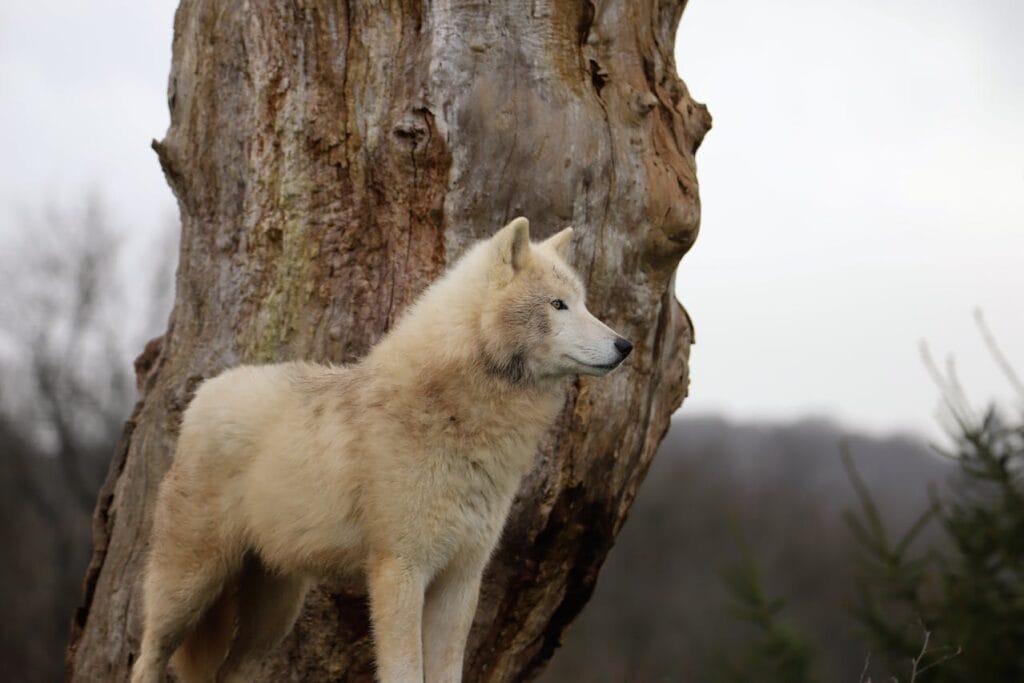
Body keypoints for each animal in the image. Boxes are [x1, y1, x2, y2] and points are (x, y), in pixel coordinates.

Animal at [131, 217, 633, 683]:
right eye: (558, 305)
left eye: (584, 304)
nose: (625, 345)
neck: (461, 419)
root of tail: (206, 392)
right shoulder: (401, 571)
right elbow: (405, 672)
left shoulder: (460, 581)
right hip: (189, 589)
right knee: (146, 656)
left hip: (272, 617)